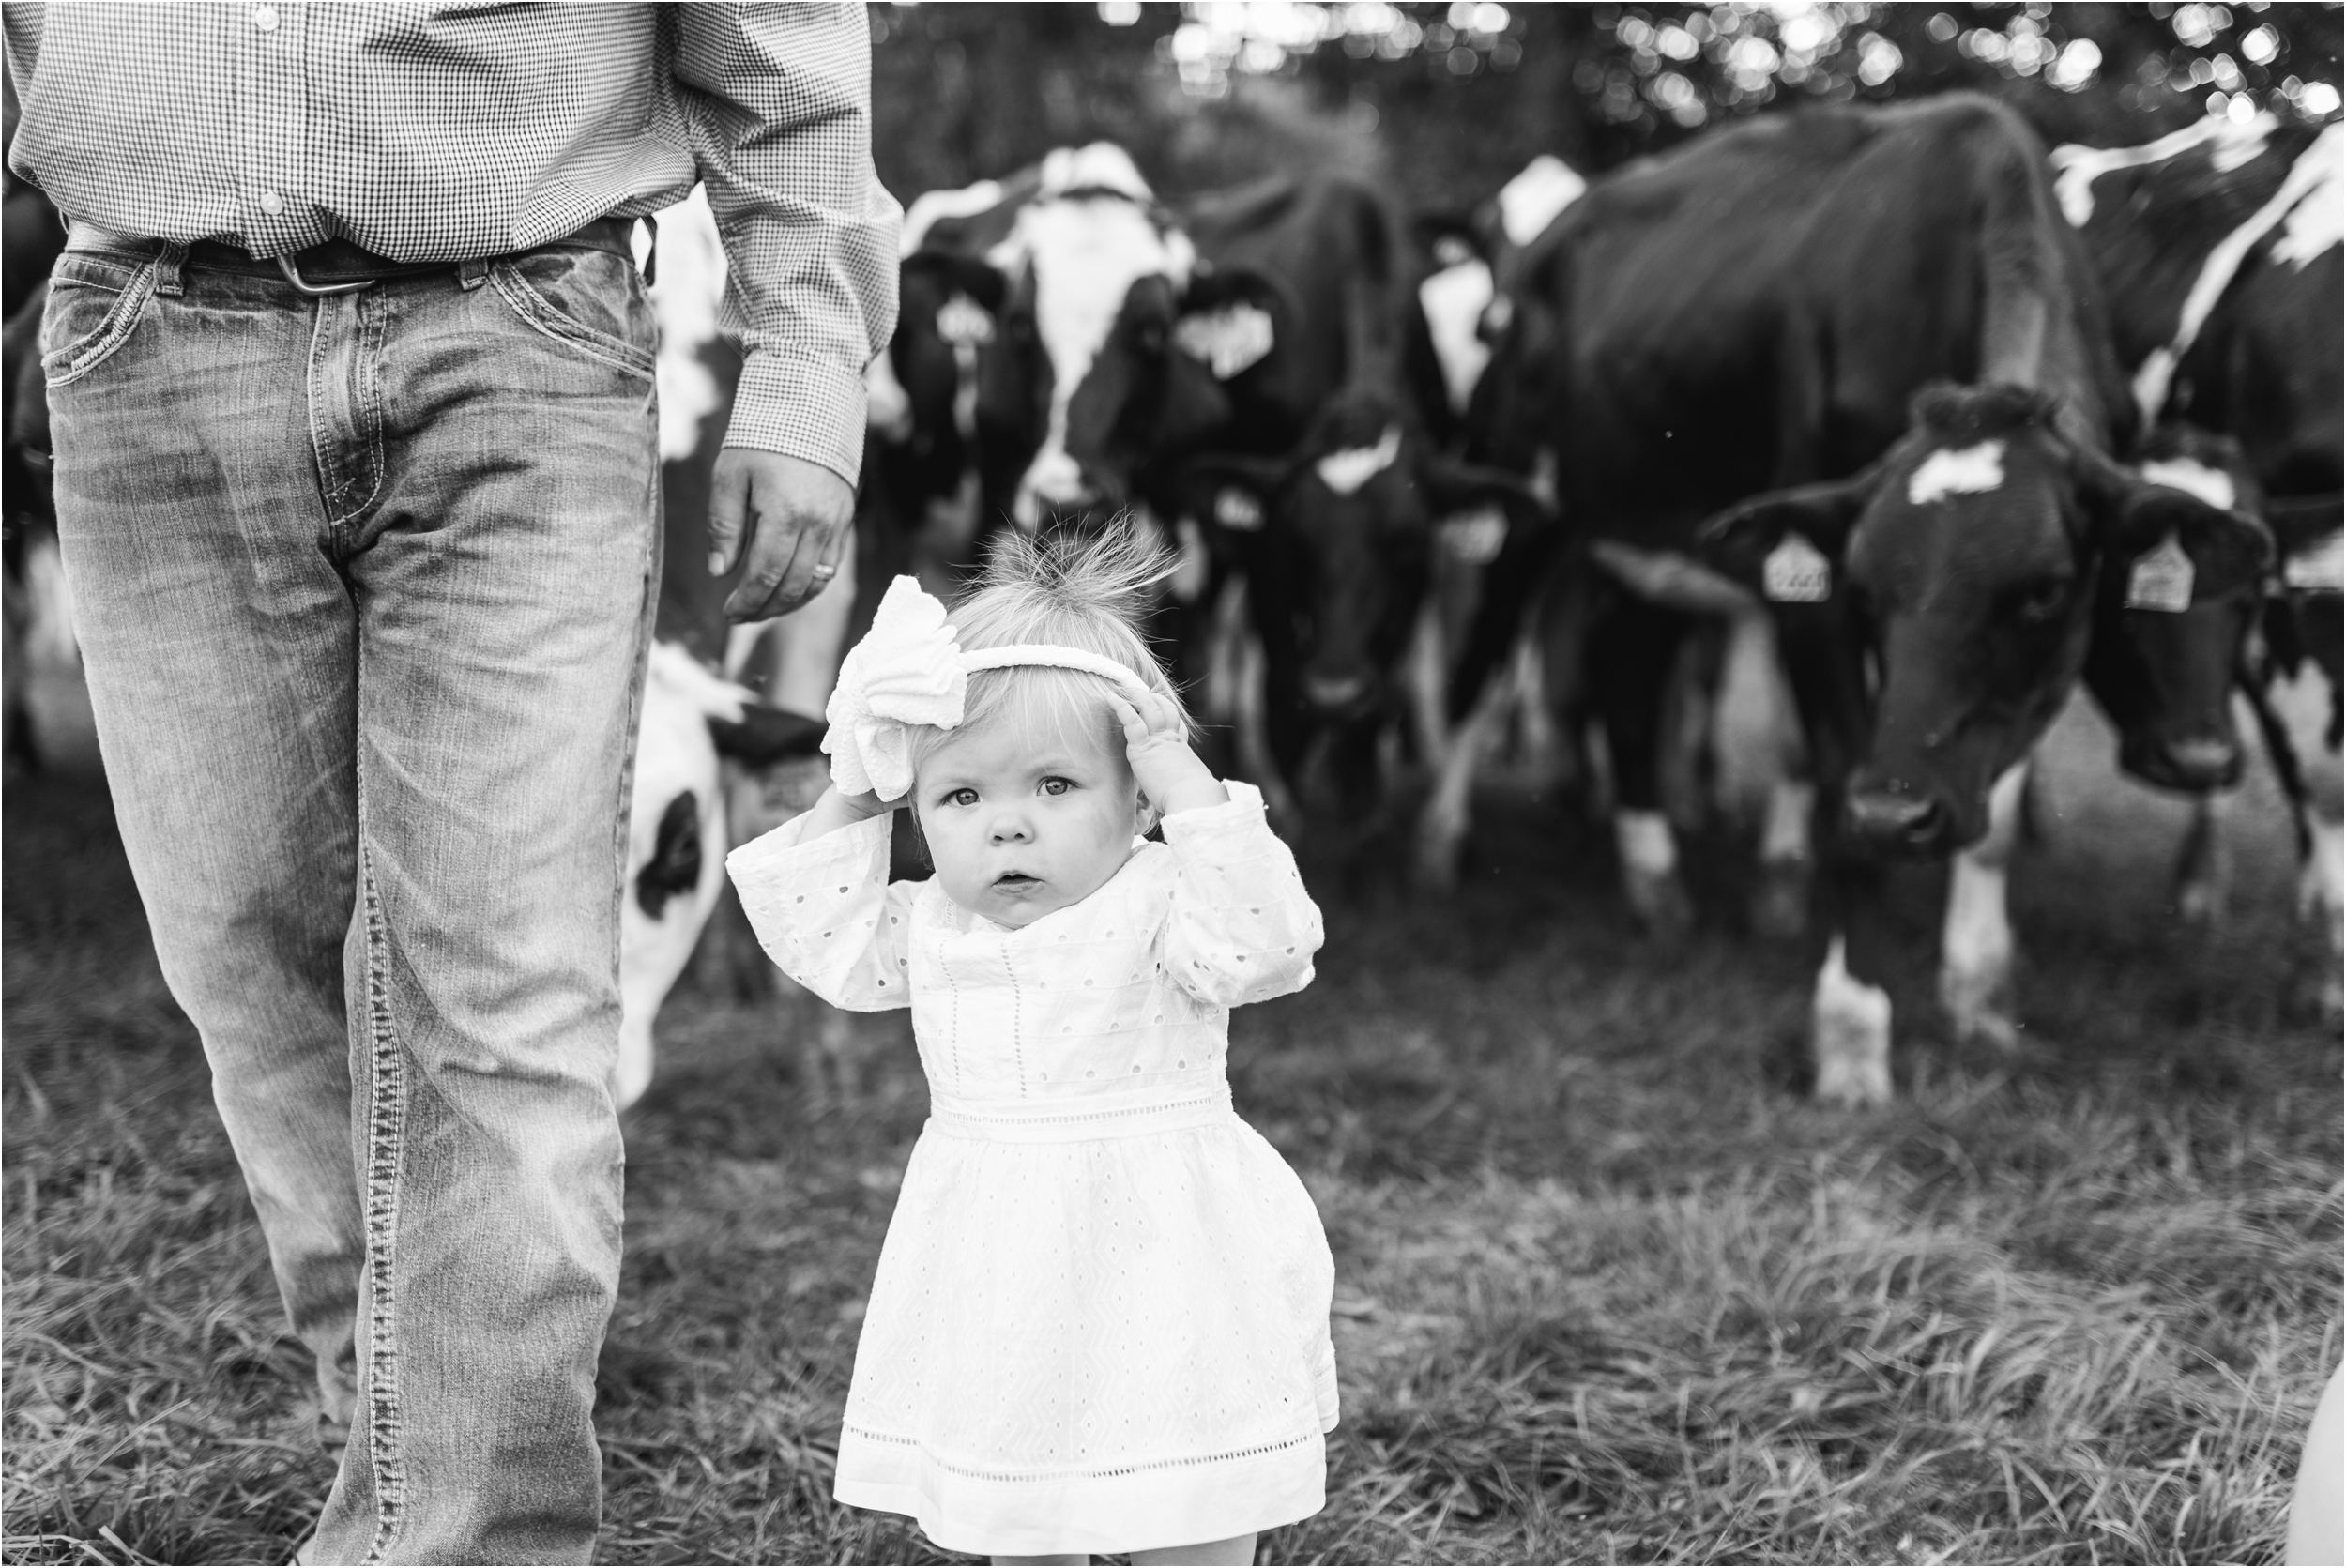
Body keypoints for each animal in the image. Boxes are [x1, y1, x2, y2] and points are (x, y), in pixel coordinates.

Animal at [1445, 95, 2271, 1103]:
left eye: (2047, 592)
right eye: (1868, 586)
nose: (1898, 814)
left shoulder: (2020, 686)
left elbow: (1993, 823)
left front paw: (1980, 997)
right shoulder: (1813, 602)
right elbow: (1839, 772)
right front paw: (1853, 1034)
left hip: (1639, 525)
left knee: (1629, 676)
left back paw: (1657, 887)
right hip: (1514, 494)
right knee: (1480, 665)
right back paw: (1435, 852)